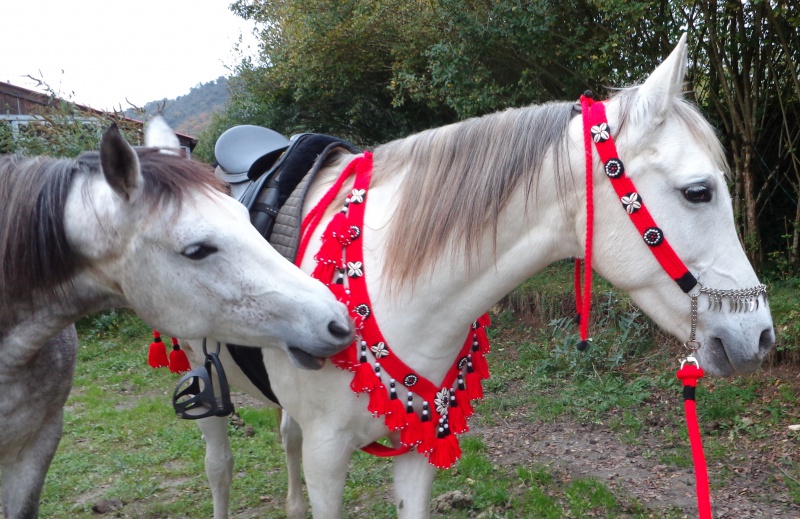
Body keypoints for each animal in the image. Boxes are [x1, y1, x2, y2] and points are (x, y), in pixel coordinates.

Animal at [191, 34, 772, 516]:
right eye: (698, 192)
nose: (762, 336)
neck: (385, 280)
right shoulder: (327, 455)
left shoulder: (417, 445)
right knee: (220, 468)